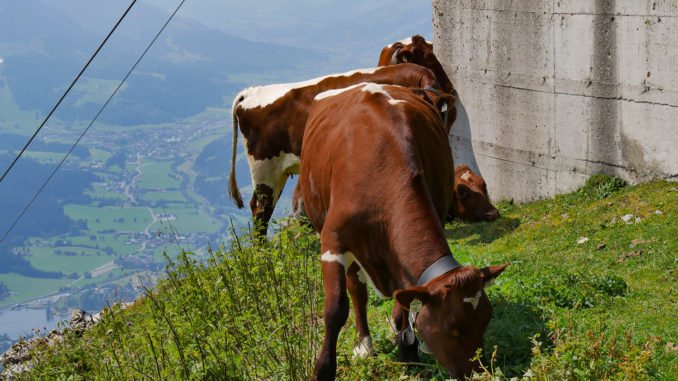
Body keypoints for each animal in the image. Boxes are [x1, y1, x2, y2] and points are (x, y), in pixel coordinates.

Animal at [230, 62, 452, 235]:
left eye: (437, 112)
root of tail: (252, 92)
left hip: (278, 173)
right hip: (264, 169)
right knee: (261, 210)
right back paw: (262, 253)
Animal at [300, 81, 508, 378]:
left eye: (486, 320)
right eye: (451, 328)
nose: (474, 373)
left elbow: (403, 305)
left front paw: (406, 354)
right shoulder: (332, 241)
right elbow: (335, 309)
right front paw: (323, 370)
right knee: (357, 291)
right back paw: (365, 344)